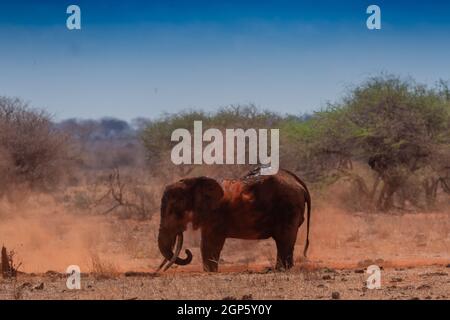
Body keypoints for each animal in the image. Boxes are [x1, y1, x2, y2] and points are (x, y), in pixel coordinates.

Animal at [156, 166, 312, 272]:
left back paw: (280, 270)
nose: (187, 252)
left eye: (174, 210)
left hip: (288, 206)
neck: (194, 181)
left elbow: (210, 243)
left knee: (284, 239)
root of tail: (297, 182)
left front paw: (210, 272)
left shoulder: (216, 214)